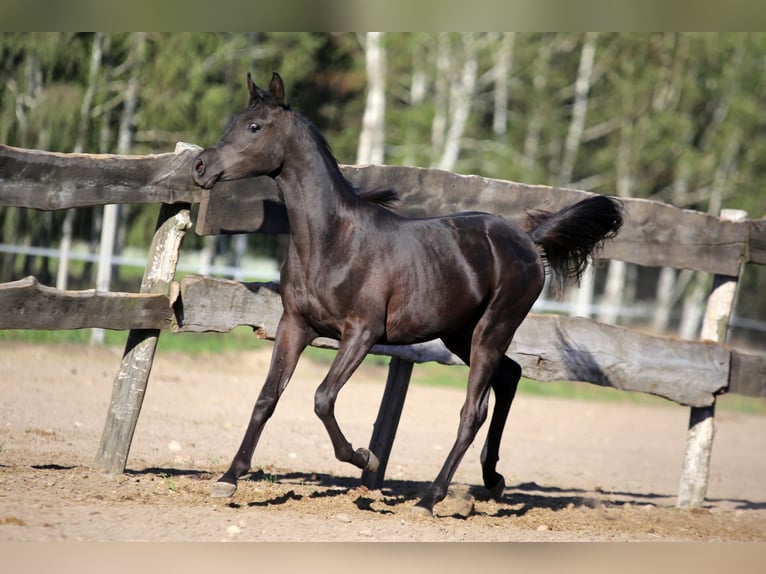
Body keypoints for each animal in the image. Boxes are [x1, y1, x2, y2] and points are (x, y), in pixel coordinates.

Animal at [191, 72, 623, 515]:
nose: (200, 166)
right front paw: (228, 479)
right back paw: (493, 480)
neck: (332, 243)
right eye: (236, 121)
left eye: (254, 126)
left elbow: (323, 397)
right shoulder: (295, 325)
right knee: (510, 376)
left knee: (473, 410)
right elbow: (267, 397)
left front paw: (366, 457)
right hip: (459, 334)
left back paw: (430, 499)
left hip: (493, 329)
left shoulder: (361, 333)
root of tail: (528, 240)